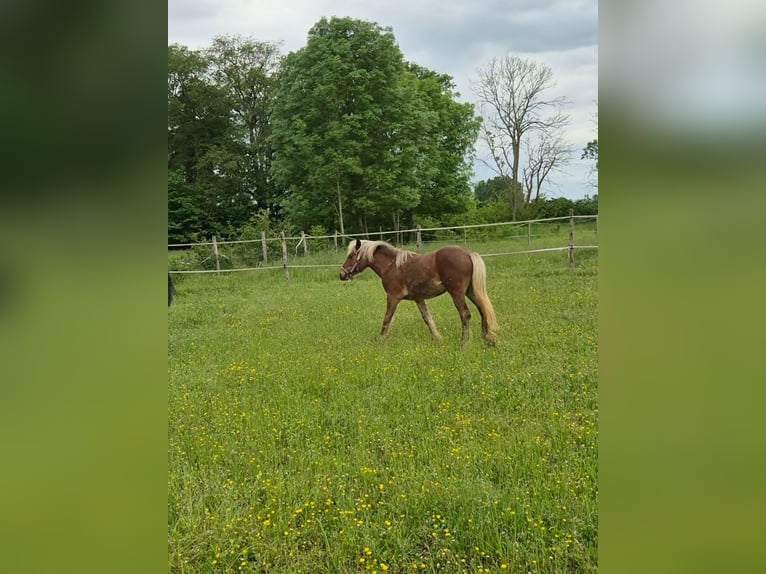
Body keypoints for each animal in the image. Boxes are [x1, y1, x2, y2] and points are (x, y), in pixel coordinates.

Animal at [339, 239, 498, 344]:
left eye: (350, 256)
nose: (342, 274)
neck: (391, 266)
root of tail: (468, 253)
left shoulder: (393, 297)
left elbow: (387, 318)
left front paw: (381, 340)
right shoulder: (418, 298)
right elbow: (427, 318)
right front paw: (438, 338)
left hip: (457, 293)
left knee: (465, 314)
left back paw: (464, 342)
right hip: (471, 292)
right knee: (483, 309)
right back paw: (485, 338)